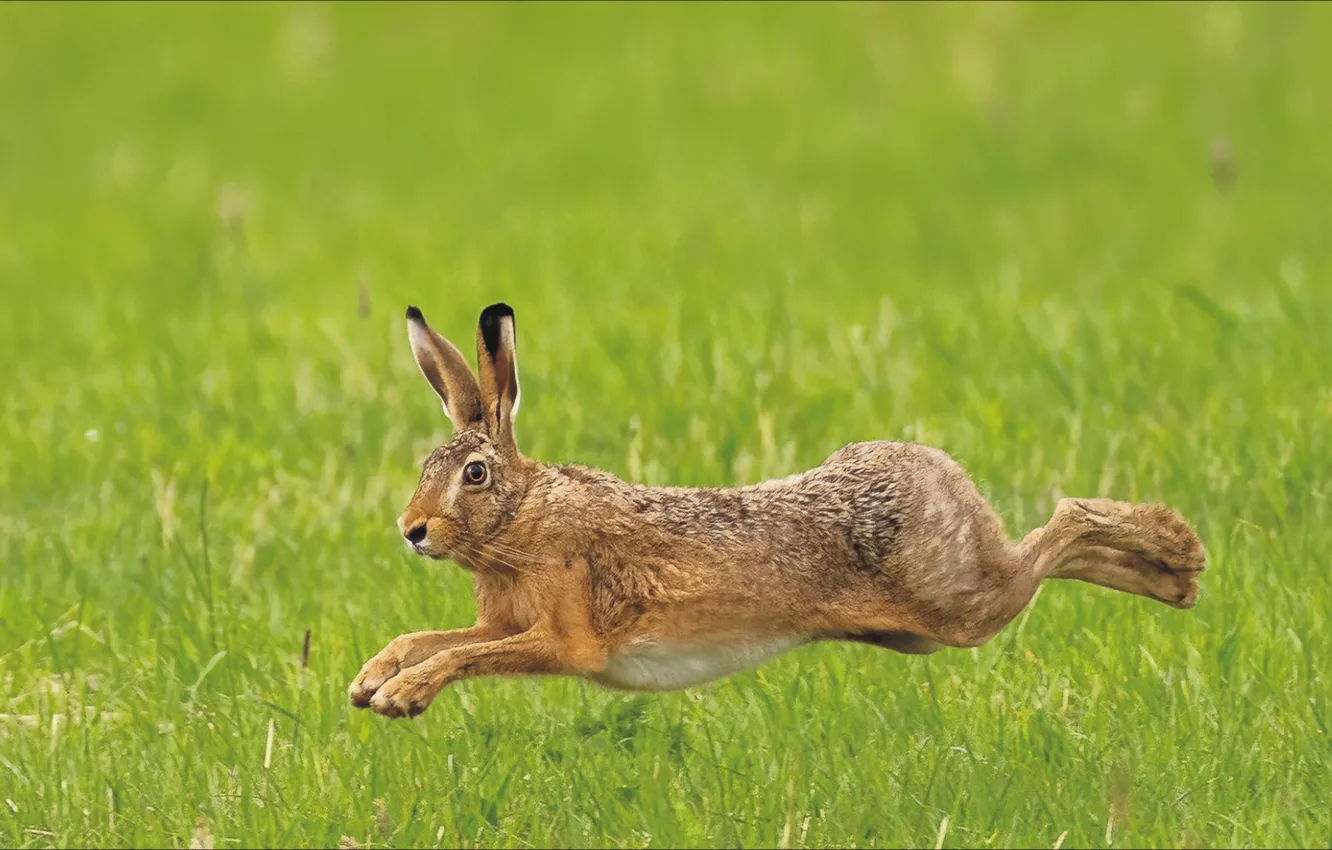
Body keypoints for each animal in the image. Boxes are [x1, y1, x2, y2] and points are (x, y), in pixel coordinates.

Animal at [349, 303, 1206, 718]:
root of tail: (940, 472)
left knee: (1059, 527)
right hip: (923, 627)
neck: (524, 518)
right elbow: (429, 639)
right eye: (426, 469)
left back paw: (1181, 556)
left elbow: (466, 656)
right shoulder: (501, 618)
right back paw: (1177, 579)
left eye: (474, 474)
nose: (412, 531)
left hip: (959, 605)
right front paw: (369, 682)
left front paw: (401, 698)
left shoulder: (562, 637)